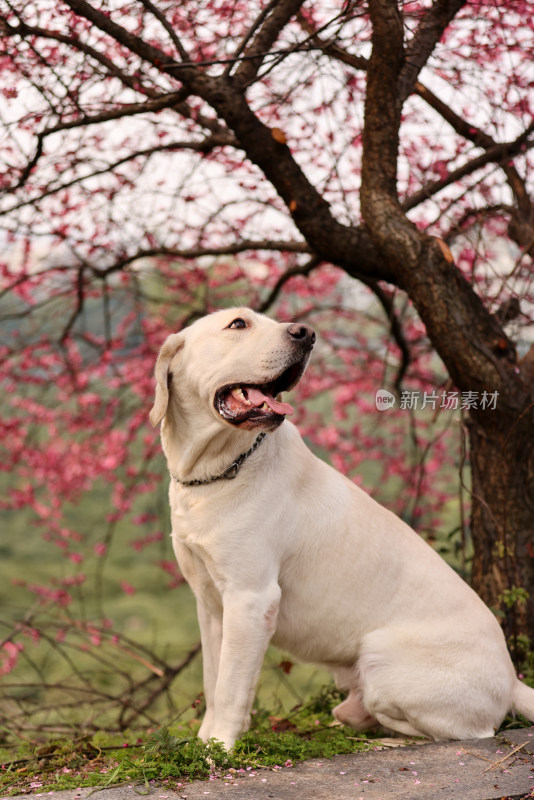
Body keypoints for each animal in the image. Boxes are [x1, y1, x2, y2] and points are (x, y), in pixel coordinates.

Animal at [150, 306, 534, 752]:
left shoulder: (250, 599)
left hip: (381, 655)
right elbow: (214, 681)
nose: (306, 334)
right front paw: (202, 741)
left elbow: (231, 686)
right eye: (239, 324)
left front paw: (220, 749)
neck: (217, 471)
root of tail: (512, 680)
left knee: (468, 731)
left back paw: (384, 739)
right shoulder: (211, 604)